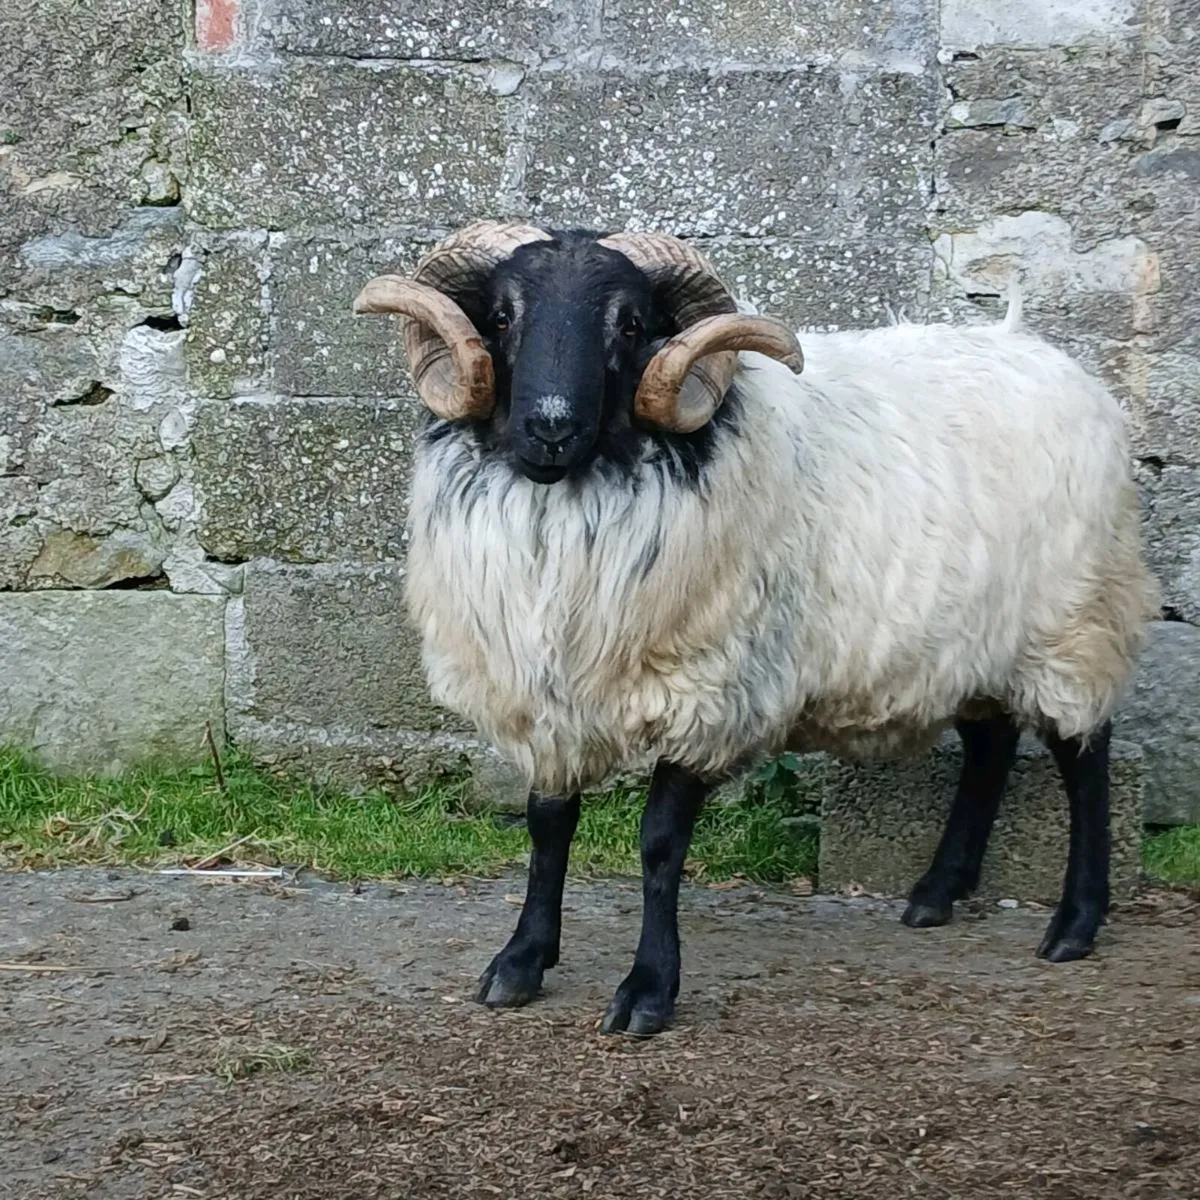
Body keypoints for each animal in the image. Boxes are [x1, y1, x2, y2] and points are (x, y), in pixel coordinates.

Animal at [353, 221, 1159, 1036]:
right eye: (501, 316)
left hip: (1073, 622)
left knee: (1084, 756)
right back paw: (936, 894)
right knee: (990, 747)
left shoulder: (709, 686)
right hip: (968, 643)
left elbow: (659, 843)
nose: (550, 427)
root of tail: (1049, 357)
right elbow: (548, 828)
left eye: (632, 324)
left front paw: (648, 991)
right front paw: (520, 961)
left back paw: (1074, 924)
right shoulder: (544, 695)